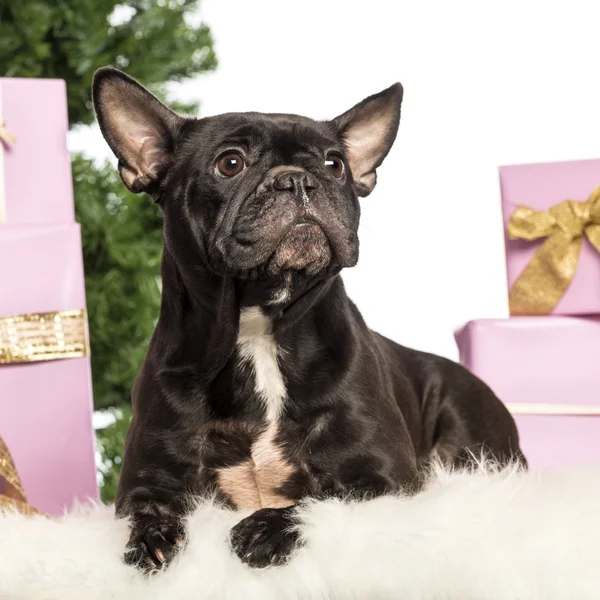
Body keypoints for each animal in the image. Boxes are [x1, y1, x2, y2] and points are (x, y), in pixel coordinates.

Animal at [91, 65, 524, 572]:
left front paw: (266, 527)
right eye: (230, 163)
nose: (297, 180)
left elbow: (323, 498)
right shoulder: (145, 481)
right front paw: (152, 537)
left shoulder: (386, 478)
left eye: (336, 164)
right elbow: (147, 508)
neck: (259, 330)